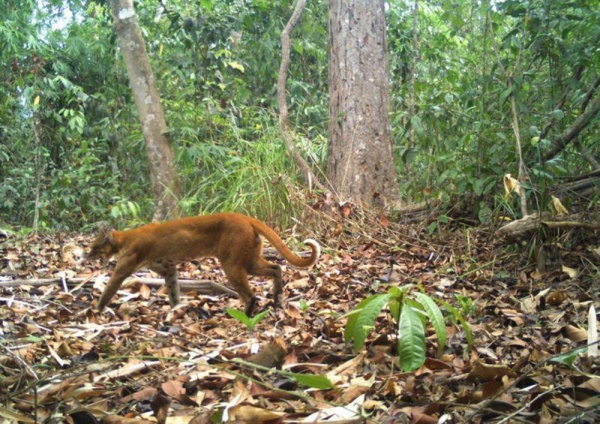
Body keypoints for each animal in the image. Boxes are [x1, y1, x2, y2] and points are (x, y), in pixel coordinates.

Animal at [87, 212, 322, 314]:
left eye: (95, 246)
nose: (87, 255)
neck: (123, 239)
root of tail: (243, 216)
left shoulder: (122, 270)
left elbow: (108, 289)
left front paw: (95, 311)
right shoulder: (168, 268)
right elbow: (173, 288)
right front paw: (176, 309)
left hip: (232, 264)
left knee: (251, 295)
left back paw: (244, 315)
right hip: (250, 261)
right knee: (276, 268)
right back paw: (277, 299)